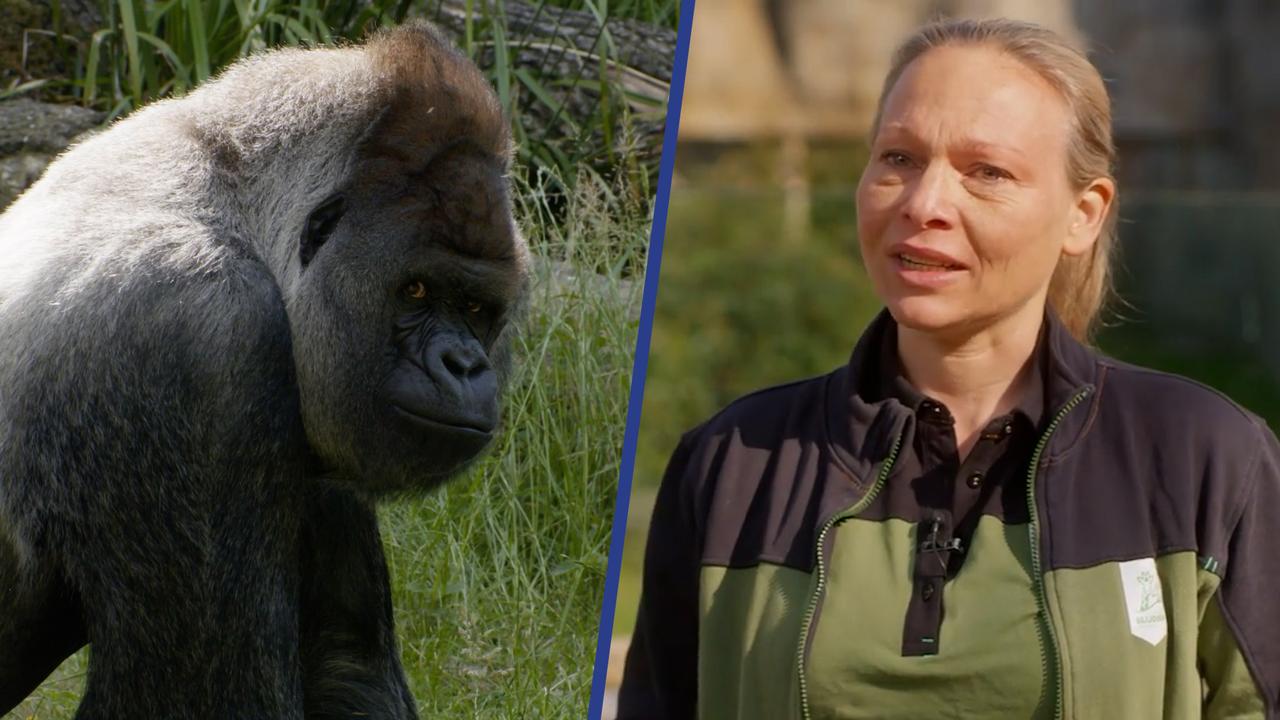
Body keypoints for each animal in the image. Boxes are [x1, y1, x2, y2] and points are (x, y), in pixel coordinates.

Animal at [0, 19, 527, 712]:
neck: (238, 208)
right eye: (415, 292)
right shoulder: (202, 335)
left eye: (474, 308)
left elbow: (347, 665)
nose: (462, 364)